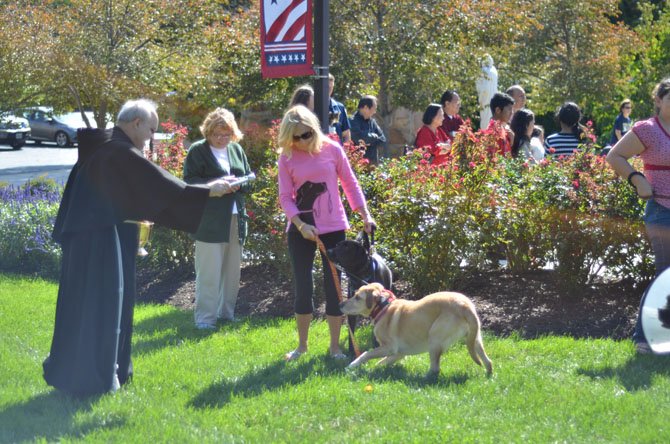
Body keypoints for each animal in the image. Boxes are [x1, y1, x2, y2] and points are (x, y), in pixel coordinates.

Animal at [342, 284, 494, 374]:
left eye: (357, 297)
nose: (340, 305)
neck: (383, 307)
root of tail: (465, 306)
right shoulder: (398, 353)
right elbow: (382, 362)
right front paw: (376, 368)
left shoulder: (389, 348)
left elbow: (366, 354)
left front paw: (353, 365)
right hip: (475, 339)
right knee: (488, 361)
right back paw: (488, 375)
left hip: (434, 338)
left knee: (435, 369)